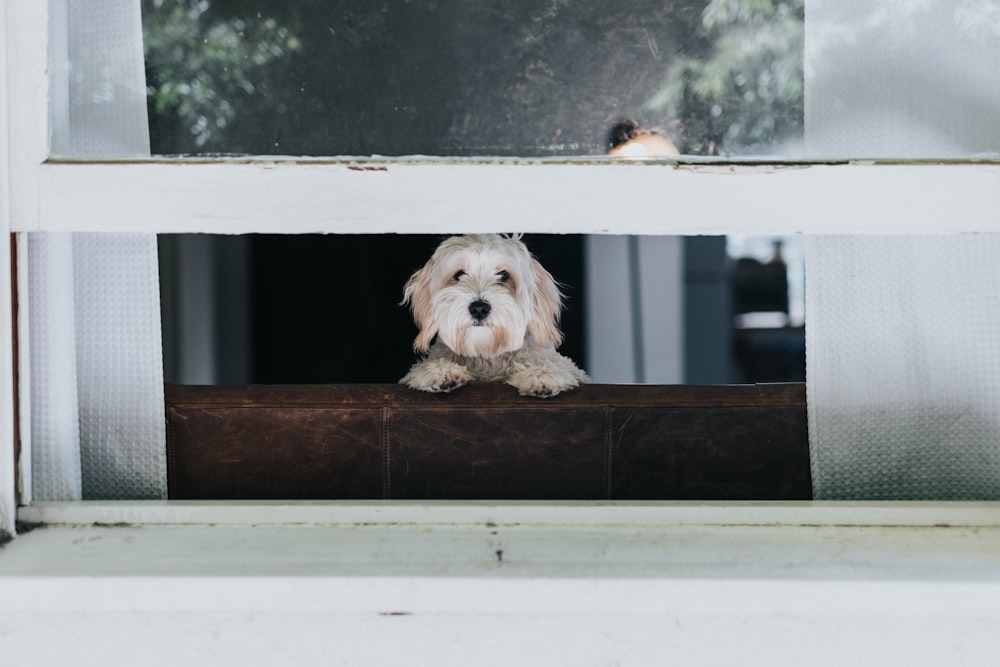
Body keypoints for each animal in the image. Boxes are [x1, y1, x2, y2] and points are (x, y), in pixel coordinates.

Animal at [400, 236, 588, 396]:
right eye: (459, 275)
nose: (479, 308)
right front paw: (438, 371)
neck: (487, 352)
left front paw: (541, 374)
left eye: (504, 275)